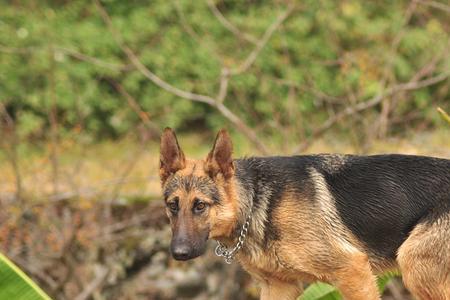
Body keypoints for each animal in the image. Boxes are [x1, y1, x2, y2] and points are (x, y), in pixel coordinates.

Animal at [159, 127, 450, 298]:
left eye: (200, 205)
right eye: (173, 206)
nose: (179, 254)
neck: (259, 202)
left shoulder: (354, 271)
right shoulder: (279, 287)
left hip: (414, 267)